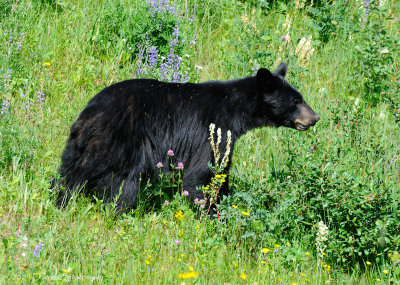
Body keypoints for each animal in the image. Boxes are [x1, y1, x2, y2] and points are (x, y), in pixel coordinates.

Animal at [55, 62, 318, 213]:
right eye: (296, 101)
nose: (315, 117)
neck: (236, 109)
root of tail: (91, 112)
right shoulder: (213, 132)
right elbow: (203, 174)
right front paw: (210, 214)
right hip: (121, 143)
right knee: (121, 185)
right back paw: (116, 212)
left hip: (81, 146)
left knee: (68, 176)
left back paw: (59, 202)